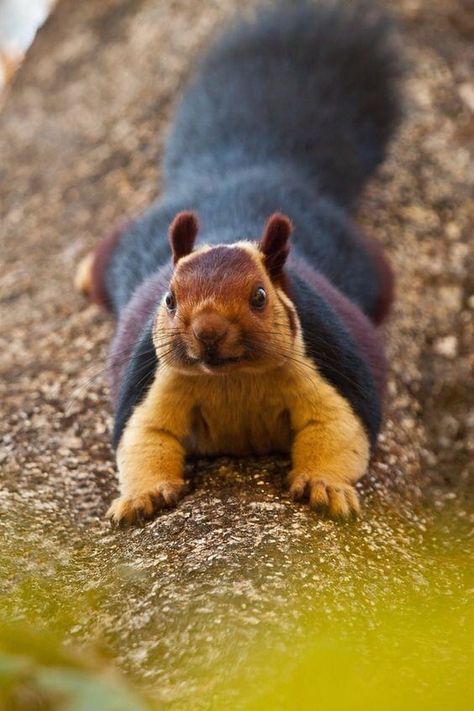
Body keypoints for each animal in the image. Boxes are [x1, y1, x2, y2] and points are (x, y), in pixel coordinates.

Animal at [77, 0, 400, 524]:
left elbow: (338, 429)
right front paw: (142, 496)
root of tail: (245, 169)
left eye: (259, 296)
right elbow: (142, 438)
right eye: (169, 300)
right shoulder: (150, 378)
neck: (232, 379)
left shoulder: (330, 362)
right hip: (132, 245)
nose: (207, 331)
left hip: (367, 265)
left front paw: (325, 487)